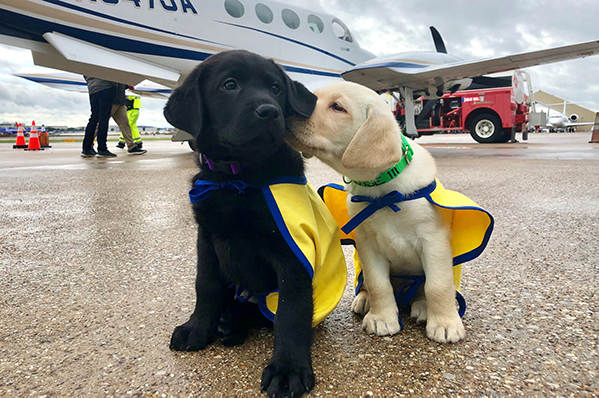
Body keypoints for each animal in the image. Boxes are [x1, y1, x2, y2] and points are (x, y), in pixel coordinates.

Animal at [163, 51, 324, 396]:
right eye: (229, 84)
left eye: (276, 88)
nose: (270, 111)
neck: (237, 178)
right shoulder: (207, 239)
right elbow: (205, 285)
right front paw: (197, 328)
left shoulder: (292, 250)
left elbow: (291, 310)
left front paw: (287, 369)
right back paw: (227, 322)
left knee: (264, 311)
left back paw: (233, 323)